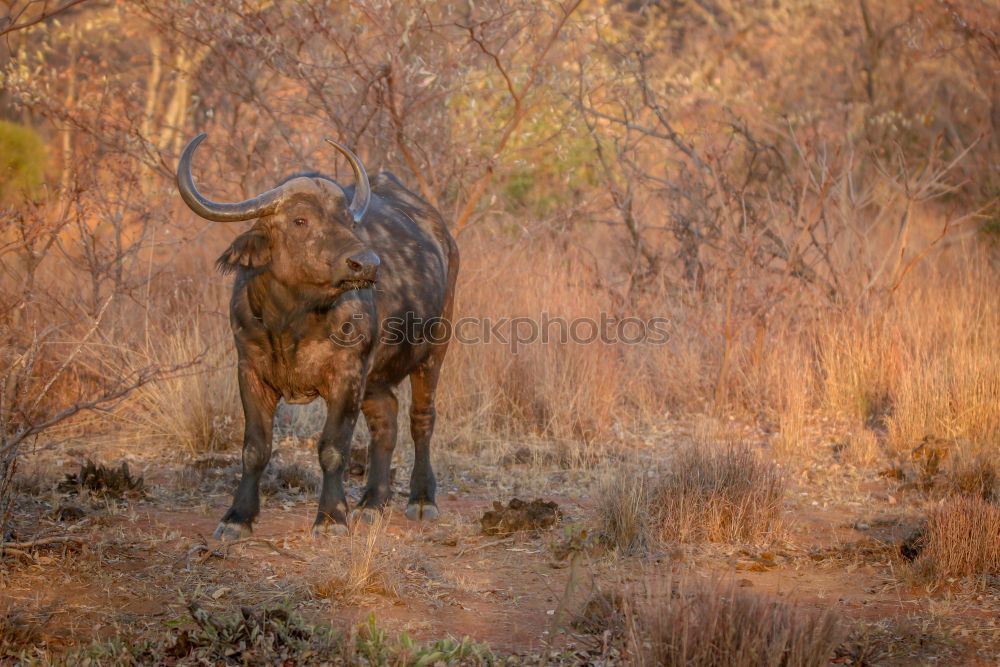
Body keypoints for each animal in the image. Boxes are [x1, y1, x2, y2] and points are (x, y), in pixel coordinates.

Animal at [178, 133, 458, 540]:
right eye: (300, 220)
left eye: (346, 220)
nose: (366, 264)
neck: (290, 322)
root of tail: (443, 236)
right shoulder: (250, 372)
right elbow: (254, 448)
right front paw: (237, 516)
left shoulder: (346, 376)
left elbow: (332, 447)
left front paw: (330, 516)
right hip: (376, 377)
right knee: (386, 420)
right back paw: (372, 503)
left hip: (434, 349)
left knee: (421, 419)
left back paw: (421, 499)